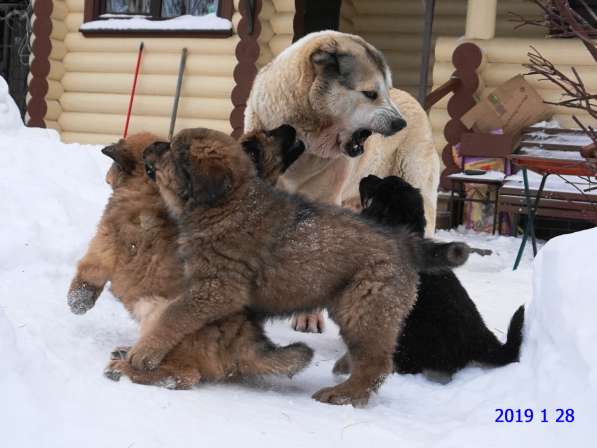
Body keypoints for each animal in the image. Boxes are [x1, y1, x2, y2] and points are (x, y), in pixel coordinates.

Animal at [68, 127, 312, 388]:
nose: (107, 176)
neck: (148, 188)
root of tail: (242, 341)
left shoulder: (103, 244)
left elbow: (87, 275)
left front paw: (78, 304)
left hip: (159, 314)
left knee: (184, 373)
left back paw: (126, 370)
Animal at [132, 127, 470, 406]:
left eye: (170, 150)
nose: (151, 144)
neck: (228, 204)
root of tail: (404, 242)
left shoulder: (217, 288)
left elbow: (175, 314)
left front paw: (145, 353)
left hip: (365, 306)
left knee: (376, 363)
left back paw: (343, 394)